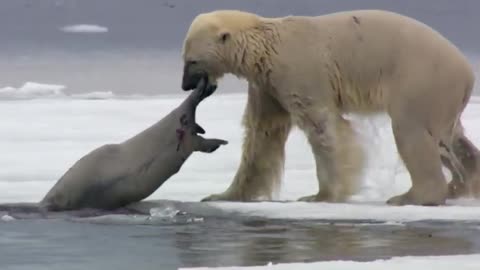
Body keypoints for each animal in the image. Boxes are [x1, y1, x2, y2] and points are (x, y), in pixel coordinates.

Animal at [179, 9, 476, 206]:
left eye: (191, 61)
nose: (184, 85)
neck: (265, 46)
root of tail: (467, 72)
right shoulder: (266, 85)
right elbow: (261, 134)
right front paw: (223, 195)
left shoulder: (299, 71)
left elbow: (323, 127)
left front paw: (321, 195)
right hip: (441, 96)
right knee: (452, 139)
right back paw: (462, 184)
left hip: (419, 79)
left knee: (413, 131)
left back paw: (411, 196)